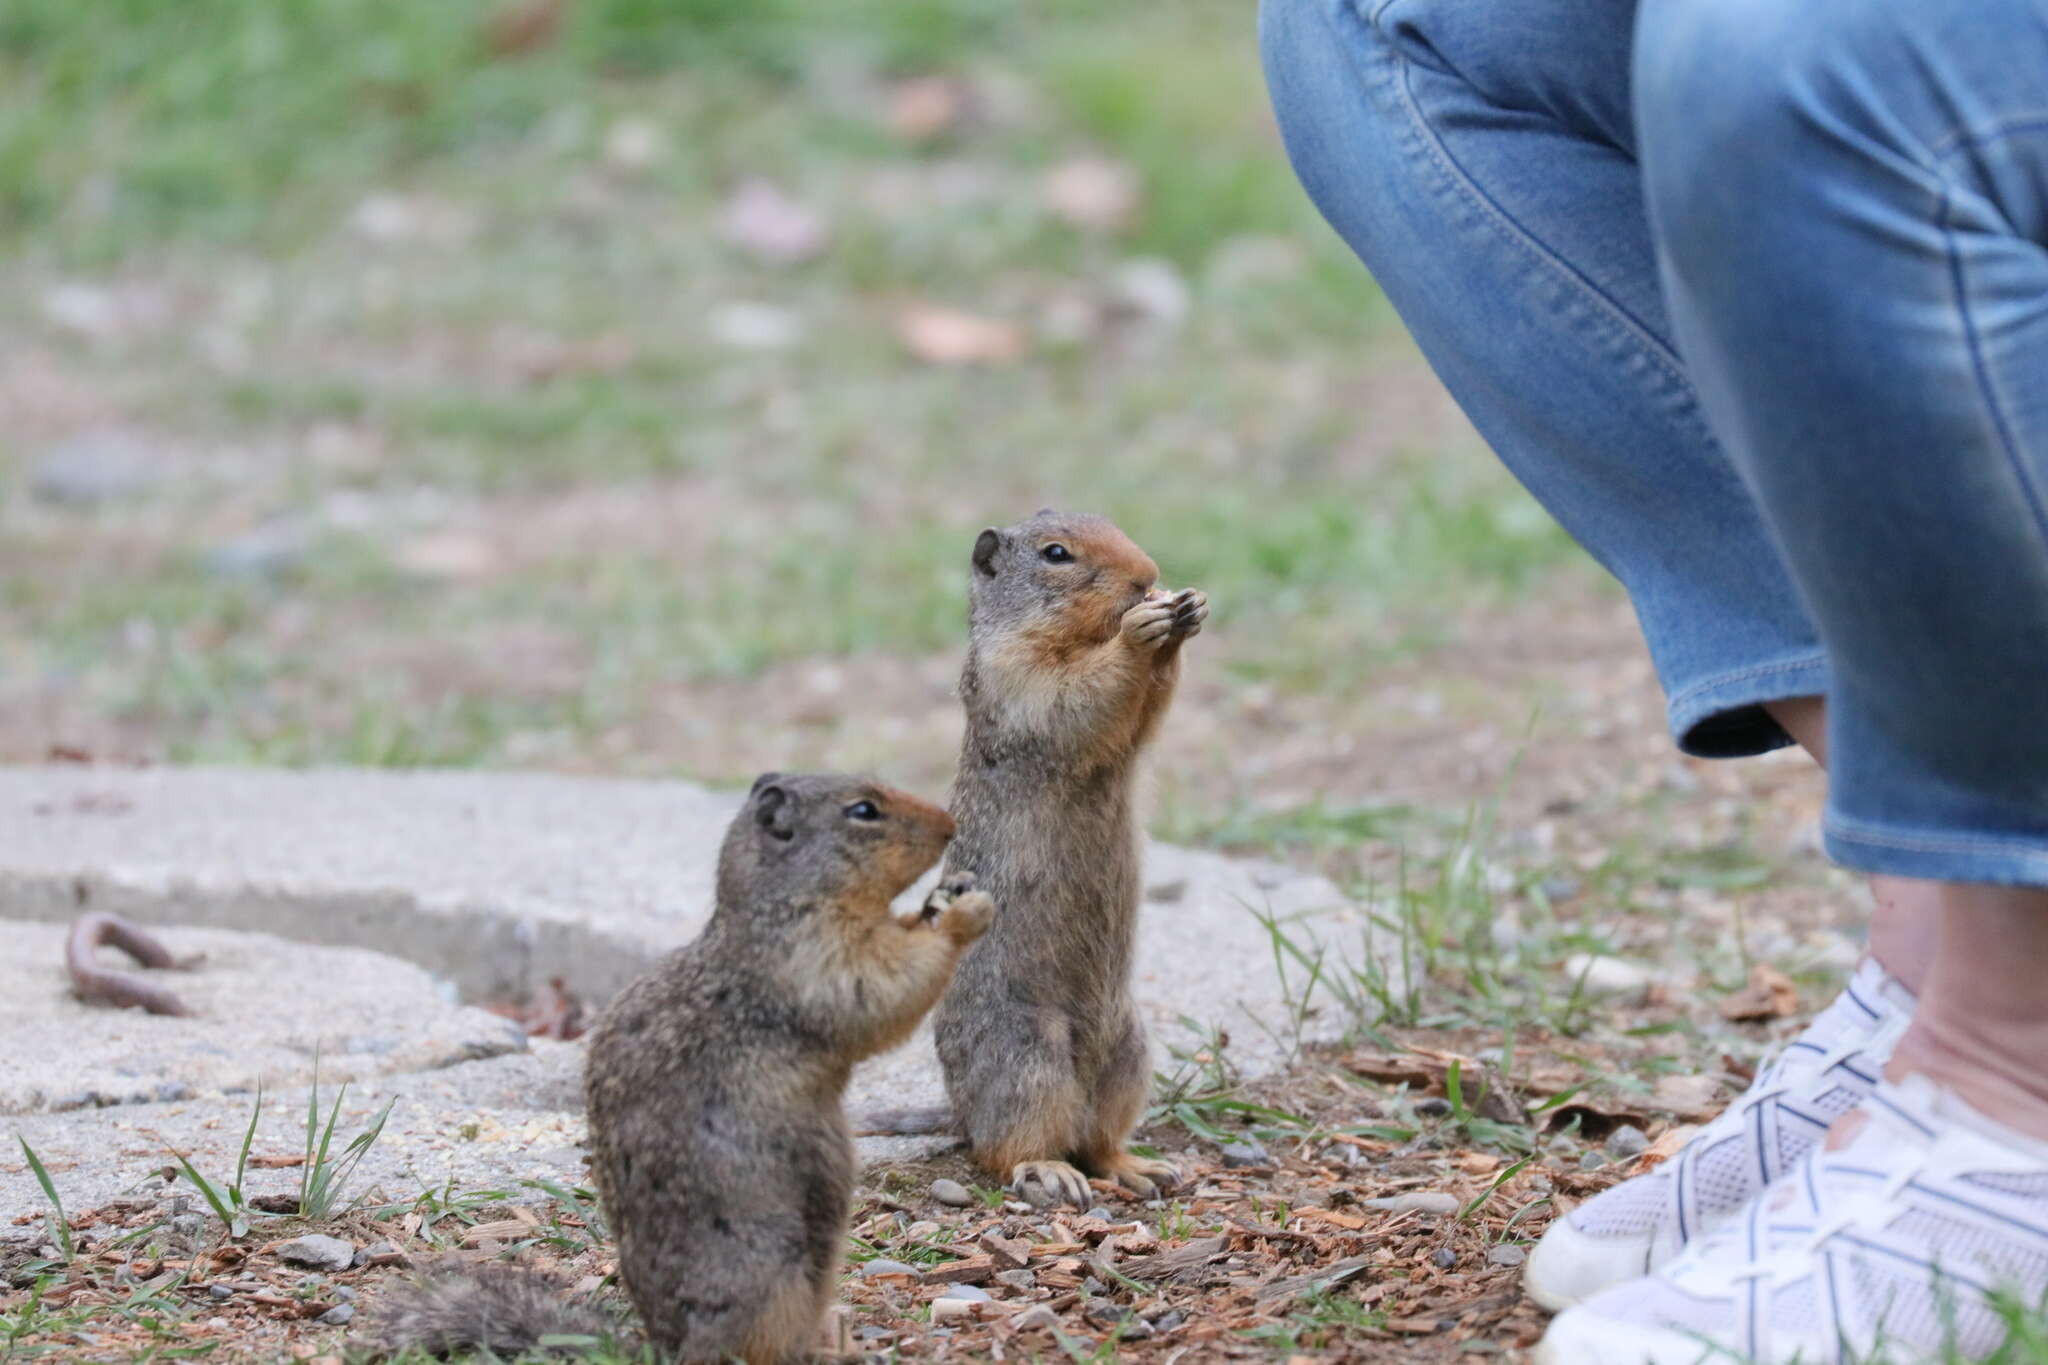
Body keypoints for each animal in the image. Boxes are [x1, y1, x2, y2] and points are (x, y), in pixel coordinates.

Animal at [368, 773, 991, 1358]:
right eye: (863, 810)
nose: (950, 825)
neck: (778, 905)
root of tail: (664, 1346)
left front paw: (948, 895)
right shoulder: (815, 960)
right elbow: (884, 988)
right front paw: (967, 912)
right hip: (774, 1279)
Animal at [937, 509, 1204, 1203]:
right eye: (1056, 554)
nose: (1148, 575)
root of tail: (959, 1113)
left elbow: (1146, 714)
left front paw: (1185, 612)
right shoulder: (1016, 673)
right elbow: (1075, 697)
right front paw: (1142, 632)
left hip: (1130, 1052)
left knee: (1097, 1139)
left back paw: (1140, 1166)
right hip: (1028, 1055)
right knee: (1008, 1147)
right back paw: (1049, 1171)